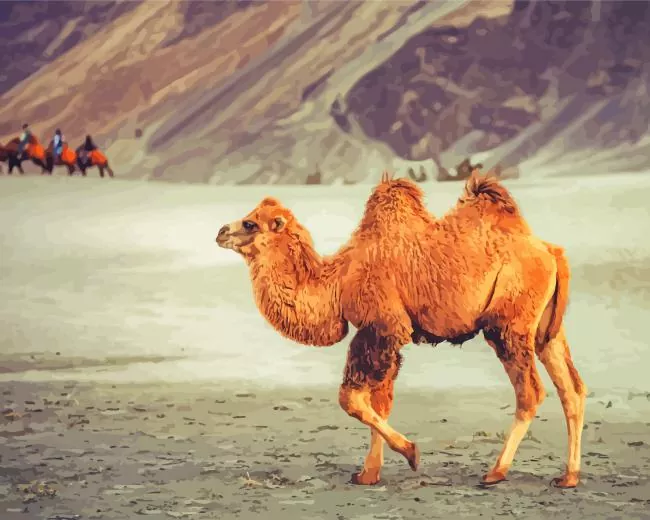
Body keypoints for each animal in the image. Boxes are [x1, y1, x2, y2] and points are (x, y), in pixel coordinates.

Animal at [216, 171, 587, 489]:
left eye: (250, 222)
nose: (220, 232)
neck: (338, 281)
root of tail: (552, 252)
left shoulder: (382, 325)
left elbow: (351, 398)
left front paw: (411, 453)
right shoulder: (386, 336)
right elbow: (380, 402)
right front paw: (369, 473)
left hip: (509, 322)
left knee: (530, 392)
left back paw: (495, 472)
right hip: (546, 329)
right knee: (572, 388)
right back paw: (568, 477)